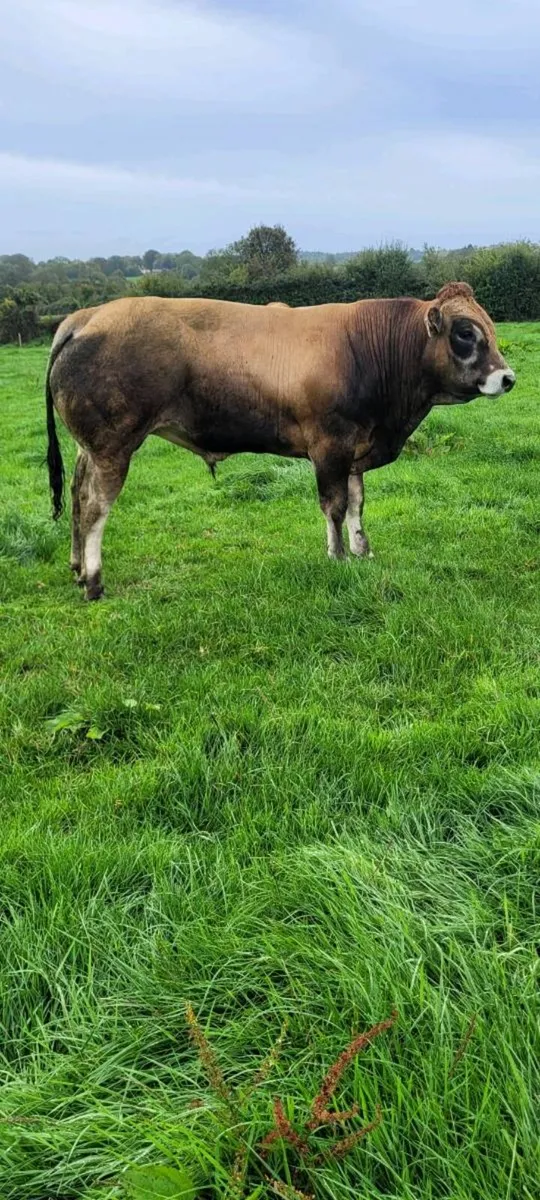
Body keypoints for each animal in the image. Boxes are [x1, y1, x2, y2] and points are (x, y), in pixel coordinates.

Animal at [45, 283, 515, 600]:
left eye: (490, 328)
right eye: (465, 333)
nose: (508, 378)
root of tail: (87, 317)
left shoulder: (356, 449)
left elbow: (357, 504)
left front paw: (363, 550)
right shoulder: (329, 446)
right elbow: (335, 506)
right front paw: (337, 557)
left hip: (88, 448)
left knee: (76, 497)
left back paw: (76, 567)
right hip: (112, 446)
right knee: (94, 507)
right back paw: (93, 581)